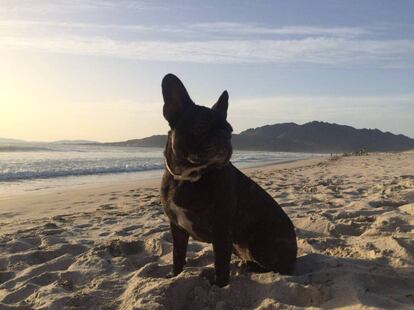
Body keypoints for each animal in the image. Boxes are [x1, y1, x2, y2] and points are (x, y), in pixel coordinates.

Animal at [159, 74, 298, 286]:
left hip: (258, 242)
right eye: (201, 127)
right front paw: (174, 275)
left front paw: (219, 285)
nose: (225, 137)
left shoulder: (221, 229)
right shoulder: (177, 228)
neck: (188, 177)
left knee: (277, 268)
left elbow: (220, 262)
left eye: (230, 130)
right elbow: (177, 254)